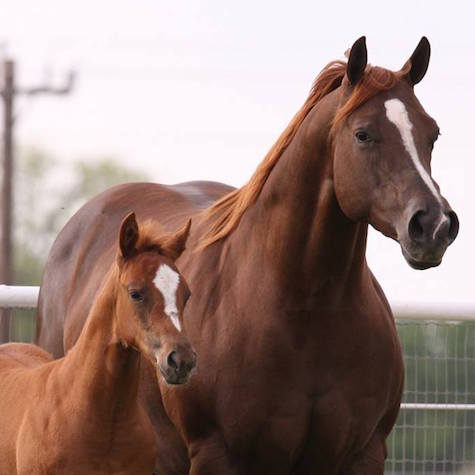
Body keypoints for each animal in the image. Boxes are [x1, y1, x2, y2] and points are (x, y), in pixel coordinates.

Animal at [37, 38, 462, 475]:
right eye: (363, 134)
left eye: (432, 134)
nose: (434, 225)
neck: (306, 313)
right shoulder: (216, 455)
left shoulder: (364, 454)